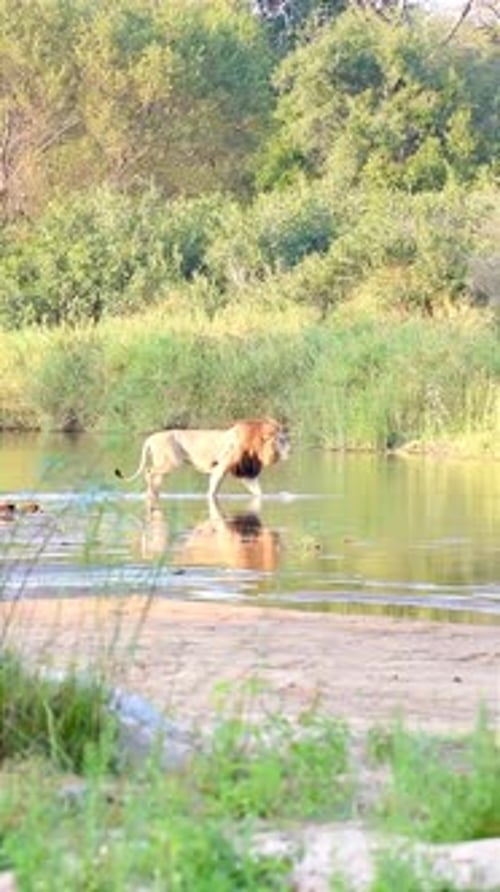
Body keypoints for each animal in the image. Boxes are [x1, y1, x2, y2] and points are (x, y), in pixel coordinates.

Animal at [115, 418, 290, 502]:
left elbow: (258, 492)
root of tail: (150, 438)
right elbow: (213, 491)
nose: (291, 450)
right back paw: (150, 493)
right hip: (171, 462)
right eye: (281, 441)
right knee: (148, 471)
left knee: (154, 478)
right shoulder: (220, 469)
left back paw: (152, 494)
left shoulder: (246, 473)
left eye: (286, 439)